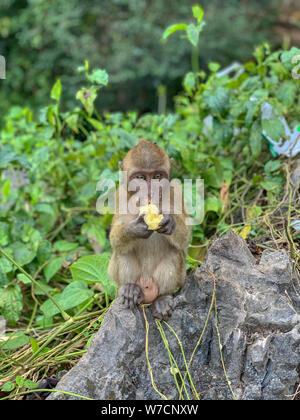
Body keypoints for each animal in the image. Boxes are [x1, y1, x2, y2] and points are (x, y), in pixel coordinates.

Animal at [108, 139, 190, 320]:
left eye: (157, 176)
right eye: (140, 177)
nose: (150, 192)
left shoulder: (176, 192)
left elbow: (184, 239)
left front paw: (170, 222)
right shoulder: (119, 196)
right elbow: (115, 239)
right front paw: (134, 229)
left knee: (174, 253)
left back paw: (162, 298)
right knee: (123, 251)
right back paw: (130, 289)